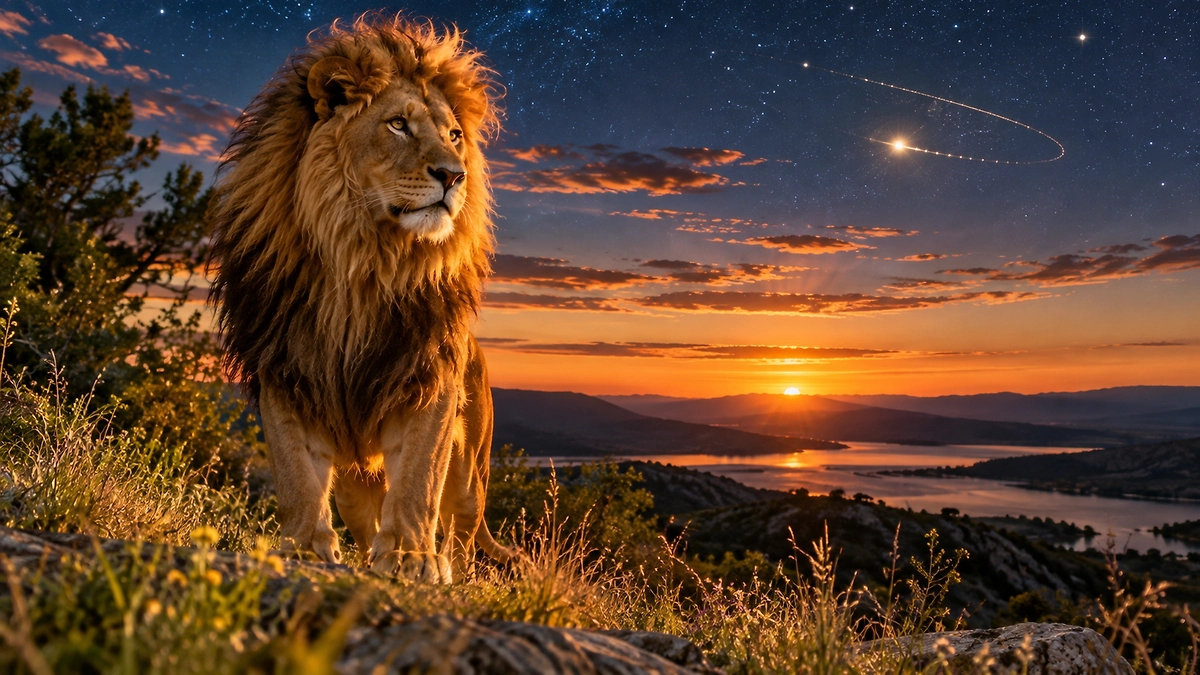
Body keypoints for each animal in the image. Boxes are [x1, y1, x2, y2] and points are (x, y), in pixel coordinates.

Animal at [207, 14, 515, 583]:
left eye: (454, 136)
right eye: (397, 125)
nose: (454, 175)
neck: (363, 263)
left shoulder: (427, 378)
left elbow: (418, 480)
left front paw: (414, 559)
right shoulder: (286, 370)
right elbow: (296, 476)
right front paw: (304, 550)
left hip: (471, 473)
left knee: (461, 529)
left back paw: (447, 567)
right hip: (354, 481)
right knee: (367, 517)